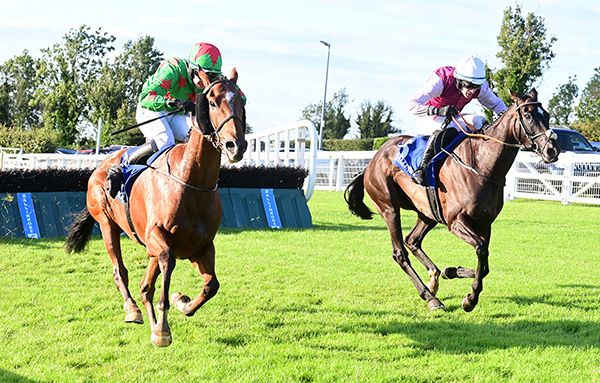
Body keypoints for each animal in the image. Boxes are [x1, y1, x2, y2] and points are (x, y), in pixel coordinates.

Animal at [68, 69, 248, 348]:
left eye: (241, 101)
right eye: (213, 101)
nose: (235, 145)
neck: (192, 181)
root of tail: (102, 165)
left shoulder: (202, 246)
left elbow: (211, 285)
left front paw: (182, 302)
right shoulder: (157, 237)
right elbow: (166, 265)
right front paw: (163, 328)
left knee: (146, 285)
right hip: (107, 224)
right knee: (120, 271)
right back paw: (132, 309)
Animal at [344, 89, 560, 312]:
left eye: (546, 115)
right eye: (528, 115)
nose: (552, 150)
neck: (481, 165)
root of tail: (372, 161)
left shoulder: (485, 223)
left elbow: (485, 262)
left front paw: (453, 273)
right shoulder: (455, 221)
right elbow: (481, 250)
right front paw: (470, 299)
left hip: (427, 213)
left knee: (412, 241)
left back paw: (434, 279)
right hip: (389, 209)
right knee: (400, 253)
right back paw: (430, 297)